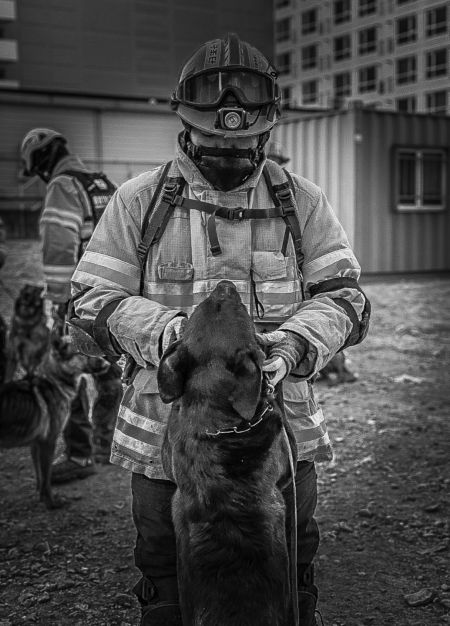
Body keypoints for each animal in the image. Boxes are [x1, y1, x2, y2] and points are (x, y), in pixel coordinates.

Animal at [0, 333, 110, 509]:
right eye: (82, 352)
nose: (108, 363)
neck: (56, 380)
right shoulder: (48, 441)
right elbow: (46, 477)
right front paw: (51, 502)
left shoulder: (36, 443)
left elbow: (40, 475)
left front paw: (40, 496)